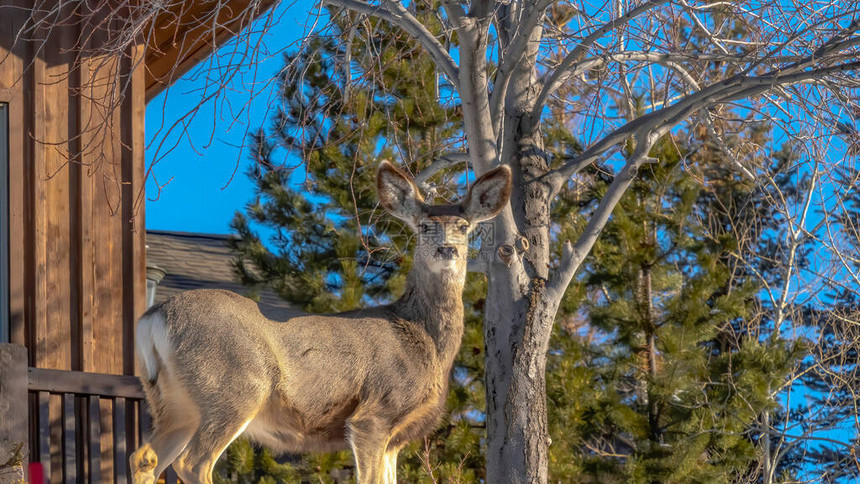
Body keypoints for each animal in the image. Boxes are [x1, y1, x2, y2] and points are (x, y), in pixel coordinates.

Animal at [129, 162, 510, 484]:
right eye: (424, 226)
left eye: (463, 226)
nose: (447, 250)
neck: (423, 339)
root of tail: (152, 318)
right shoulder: (374, 415)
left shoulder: (395, 439)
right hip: (234, 386)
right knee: (192, 464)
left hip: (173, 402)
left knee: (143, 458)